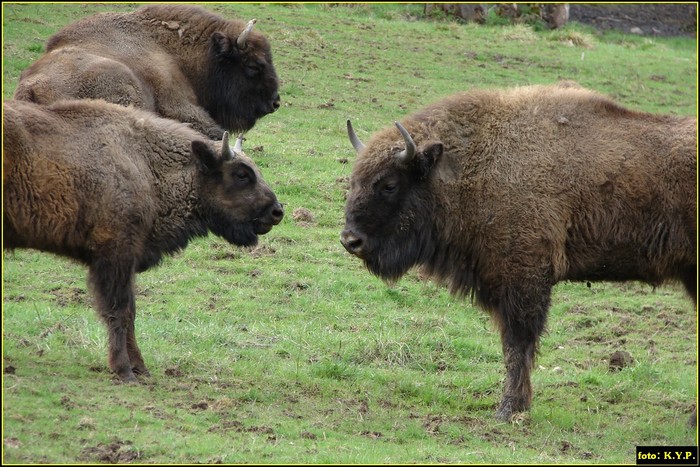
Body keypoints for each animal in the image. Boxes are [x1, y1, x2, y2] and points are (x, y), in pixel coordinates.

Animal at [4, 98, 284, 384]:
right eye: (241, 174)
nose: (277, 211)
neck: (146, 164)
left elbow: (130, 312)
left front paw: (141, 368)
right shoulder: (115, 257)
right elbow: (120, 311)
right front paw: (125, 371)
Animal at [340, 82, 696, 422]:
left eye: (389, 184)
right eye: (355, 179)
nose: (349, 240)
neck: (470, 162)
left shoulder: (523, 279)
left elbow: (517, 345)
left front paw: (509, 409)